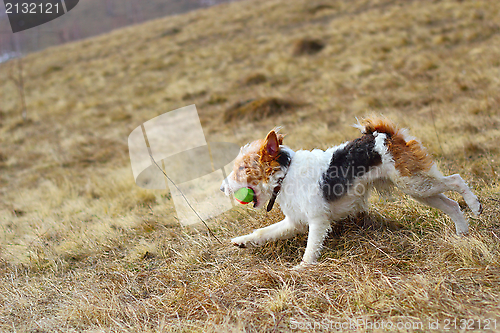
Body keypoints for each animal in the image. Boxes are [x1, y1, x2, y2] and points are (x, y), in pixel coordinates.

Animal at [221, 115, 482, 266]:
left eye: (242, 168)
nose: (222, 188)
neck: (286, 175)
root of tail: (383, 135)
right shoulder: (295, 221)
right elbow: (263, 233)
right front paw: (242, 242)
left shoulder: (317, 220)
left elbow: (310, 251)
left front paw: (301, 270)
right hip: (419, 190)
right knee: (452, 205)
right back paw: (462, 233)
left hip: (415, 183)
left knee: (457, 180)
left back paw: (475, 205)